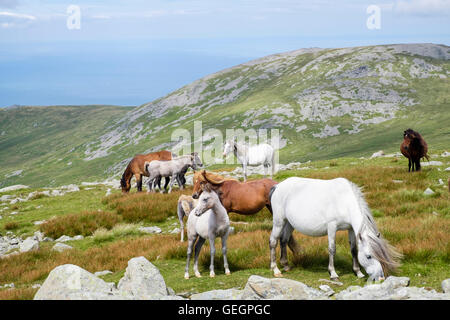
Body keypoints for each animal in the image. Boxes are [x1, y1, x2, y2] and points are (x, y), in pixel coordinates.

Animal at [268, 176, 400, 282]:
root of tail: (277, 186)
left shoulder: (351, 229)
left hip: (289, 223)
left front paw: (358, 272)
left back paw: (286, 265)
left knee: (284, 240)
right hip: (279, 221)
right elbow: (332, 249)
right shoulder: (332, 227)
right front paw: (333, 273)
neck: (344, 201)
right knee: (273, 241)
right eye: (368, 256)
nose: (381, 278)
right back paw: (276, 270)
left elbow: (353, 249)